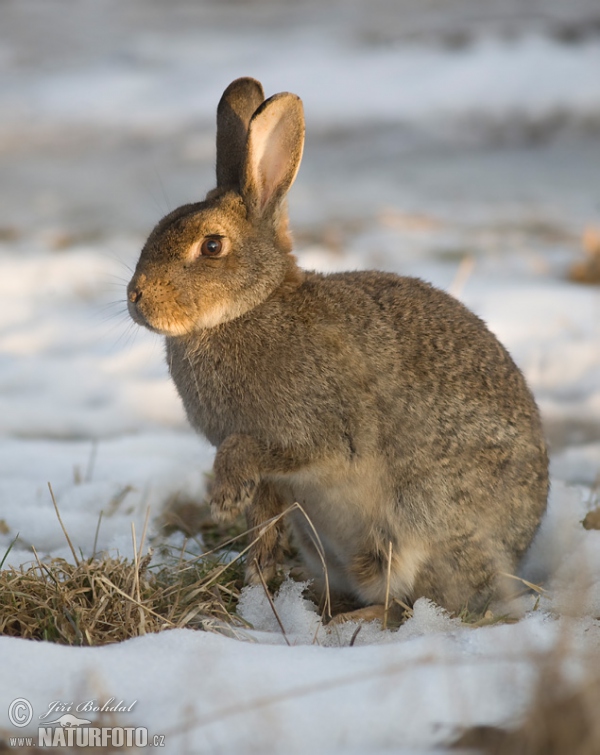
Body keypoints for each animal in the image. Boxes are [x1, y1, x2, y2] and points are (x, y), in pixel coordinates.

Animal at [126, 77, 548, 620]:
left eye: (212, 246)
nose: (135, 297)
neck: (249, 308)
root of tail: (516, 555)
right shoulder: (275, 482)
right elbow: (262, 522)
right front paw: (257, 582)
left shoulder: (320, 431)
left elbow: (256, 449)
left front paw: (222, 498)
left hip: (418, 520)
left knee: (408, 603)